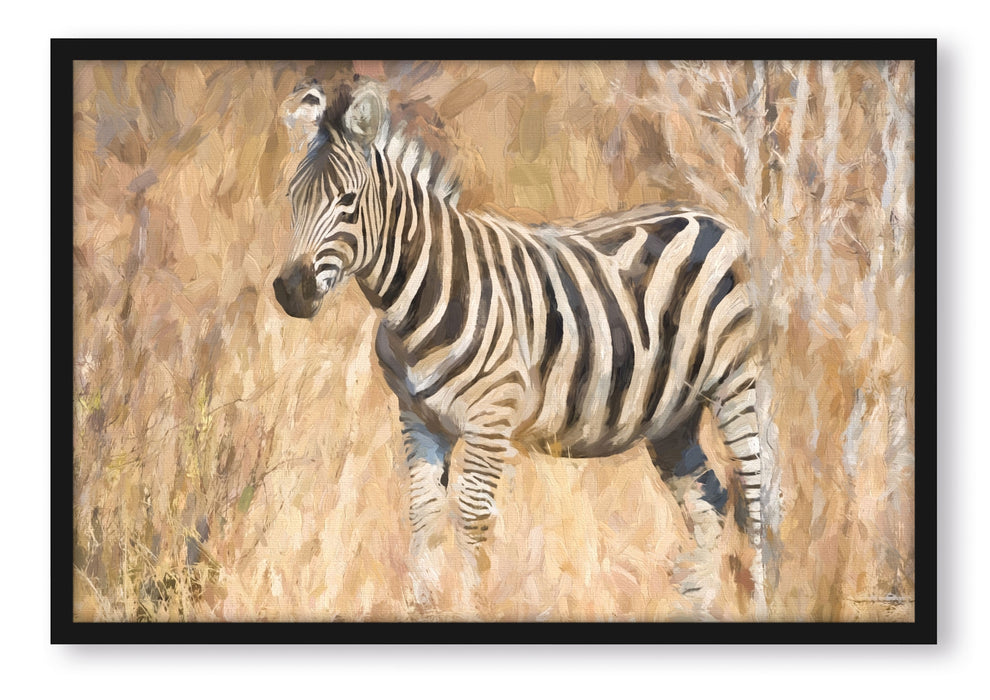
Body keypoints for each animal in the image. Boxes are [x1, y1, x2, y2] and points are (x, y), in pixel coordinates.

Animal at [272, 77, 768, 614]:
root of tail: (711, 217)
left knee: (754, 497)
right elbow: (423, 513)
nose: (291, 290)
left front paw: (471, 605)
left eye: (348, 199)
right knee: (709, 501)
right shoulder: (418, 417)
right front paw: (423, 604)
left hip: (733, 384)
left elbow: (471, 518)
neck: (424, 294)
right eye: (292, 196)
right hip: (673, 416)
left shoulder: (491, 419)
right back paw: (699, 606)